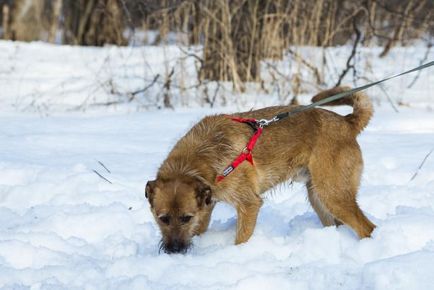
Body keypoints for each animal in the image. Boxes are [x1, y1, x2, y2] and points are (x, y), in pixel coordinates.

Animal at [147, 86, 376, 254]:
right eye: (162, 218)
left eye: (186, 218)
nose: (174, 251)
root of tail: (346, 122)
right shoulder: (207, 206)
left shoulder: (249, 204)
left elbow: (241, 238)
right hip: (319, 198)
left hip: (333, 194)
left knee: (367, 228)